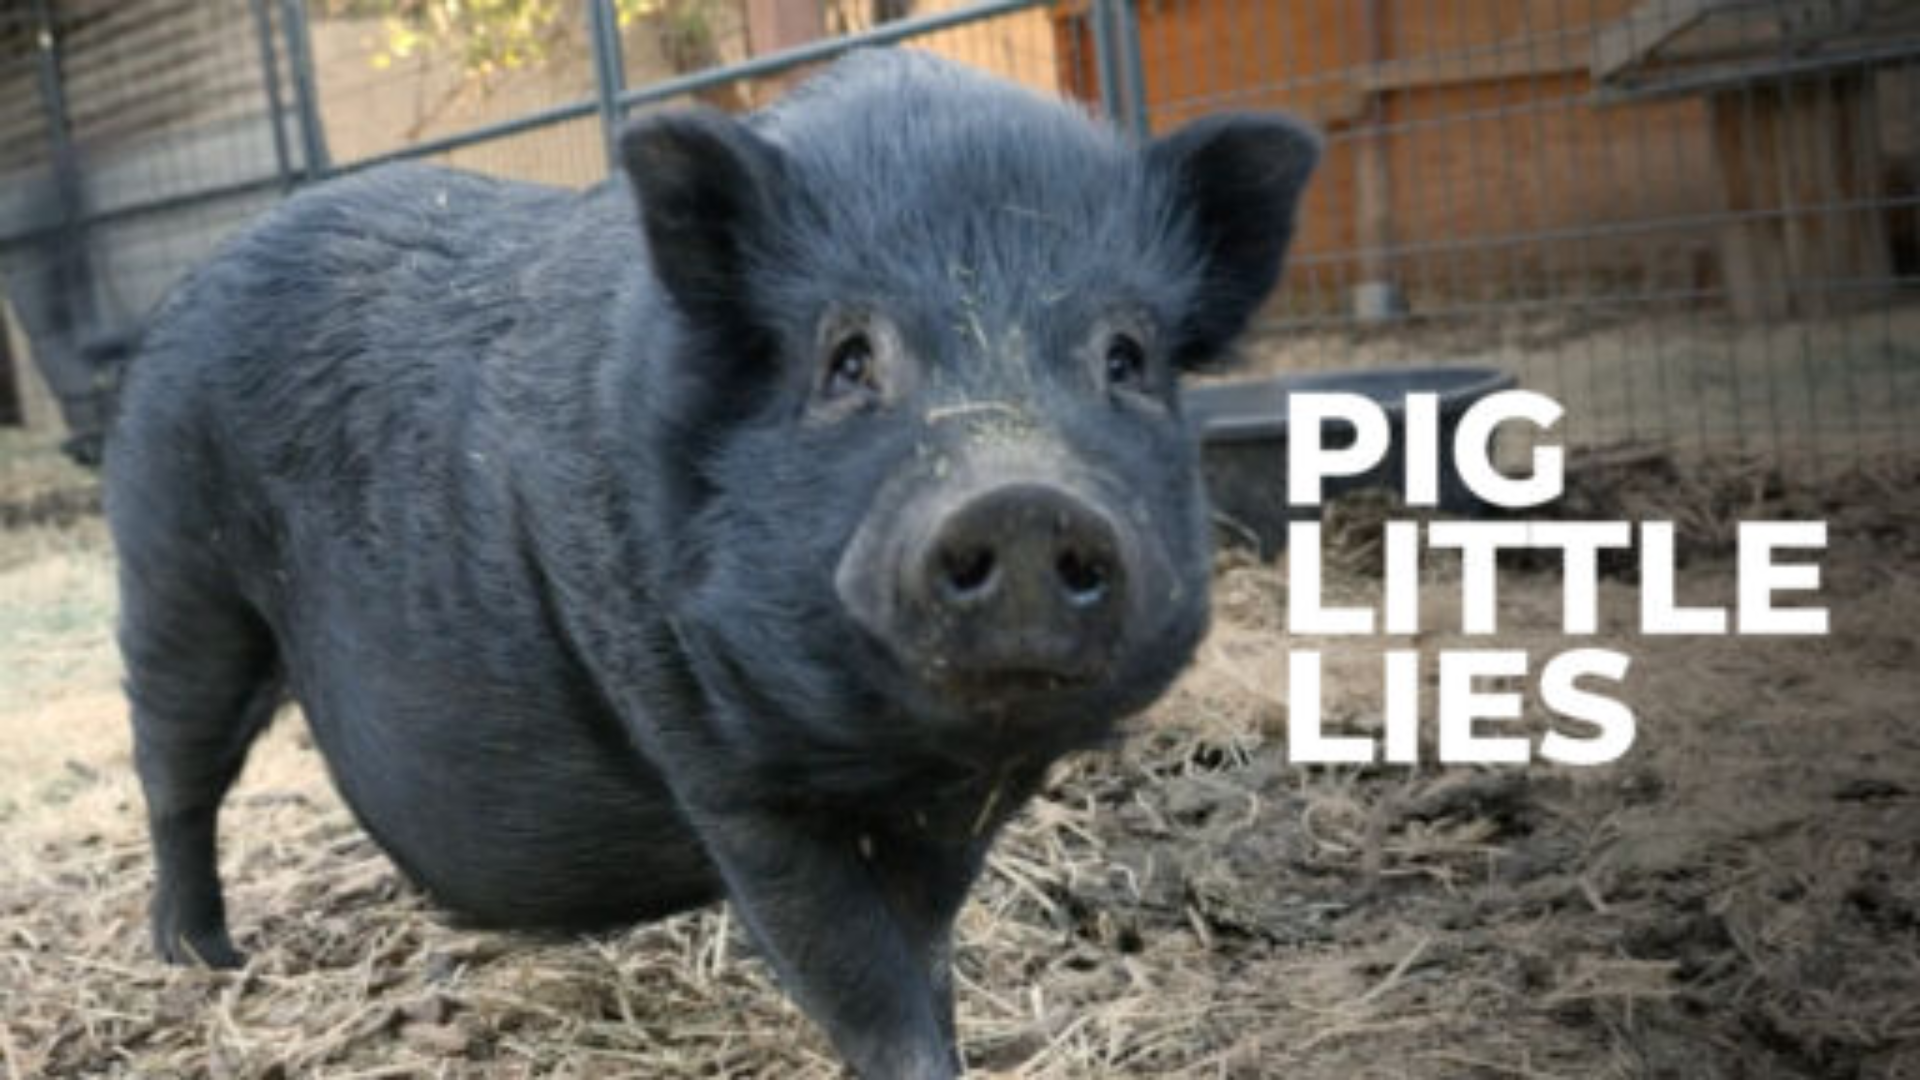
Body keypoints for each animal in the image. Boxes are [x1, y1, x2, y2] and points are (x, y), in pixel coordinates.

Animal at [107, 50, 1317, 1077]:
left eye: (1128, 357)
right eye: (846, 360)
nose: (1021, 494)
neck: (907, 756)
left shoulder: (958, 809)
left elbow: (921, 945)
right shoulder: (707, 751)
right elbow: (848, 965)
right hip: (172, 566)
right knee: (175, 774)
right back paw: (200, 958)